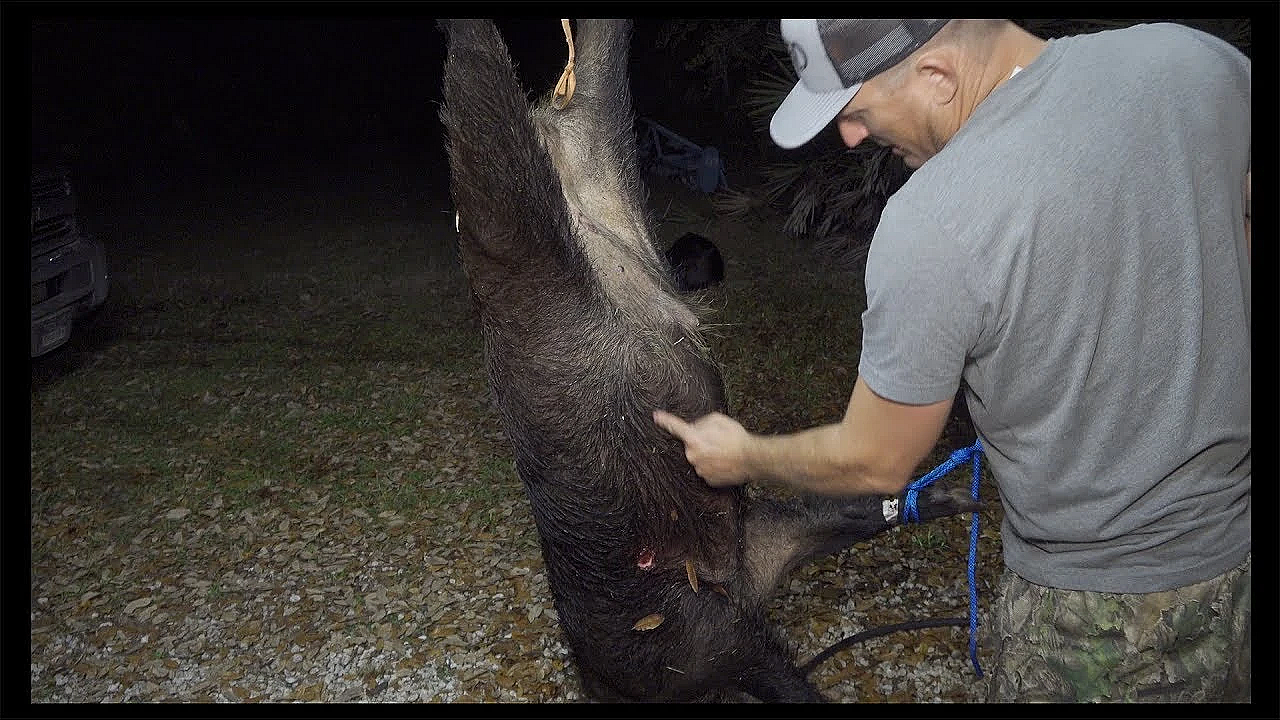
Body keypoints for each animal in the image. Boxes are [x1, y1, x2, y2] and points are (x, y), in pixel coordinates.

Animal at [439, 18, 977, 702]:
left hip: (518, 239)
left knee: (484, 108)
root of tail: (557, 122)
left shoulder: (705, 639)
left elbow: (775, 675)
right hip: (605, 148)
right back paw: (953, 499)